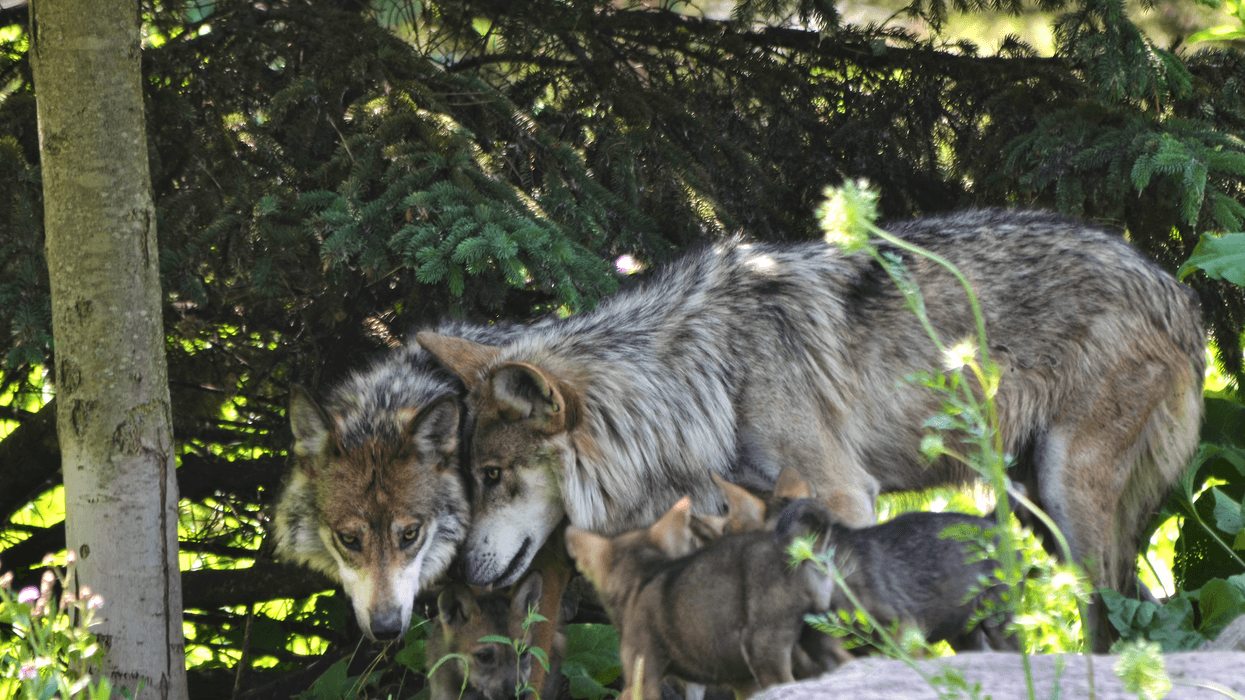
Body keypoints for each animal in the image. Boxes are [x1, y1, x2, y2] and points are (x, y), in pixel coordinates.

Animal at [416, 209, 1205, 627]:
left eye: (494, 476)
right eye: (470, 476)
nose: (462, 576)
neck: (704, 377)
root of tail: (1176, 290)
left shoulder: (842, 497)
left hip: (1067, 497)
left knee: (1106, 602)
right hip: (1026, 500)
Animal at [565, 497, 846, 700]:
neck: (645, 574)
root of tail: (800, 549)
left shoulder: (642, 676)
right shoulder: (727, 680)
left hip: (765, 651)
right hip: (821, 637)